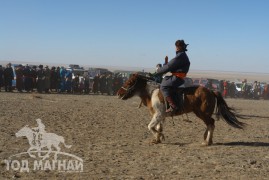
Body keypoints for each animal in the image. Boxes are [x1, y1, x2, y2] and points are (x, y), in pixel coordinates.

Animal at [116, 74, 244, 146]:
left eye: (129, 82)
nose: (118, 93)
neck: (151, 93)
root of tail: (212, 91)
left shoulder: (158, 114)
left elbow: (150, 126)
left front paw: (160, 136)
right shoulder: (160, 116)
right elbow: (157, 127)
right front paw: (157, 139)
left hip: (203, 113)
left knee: (211, 124)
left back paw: (207, 142)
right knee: (209, 124)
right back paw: (208, 140)